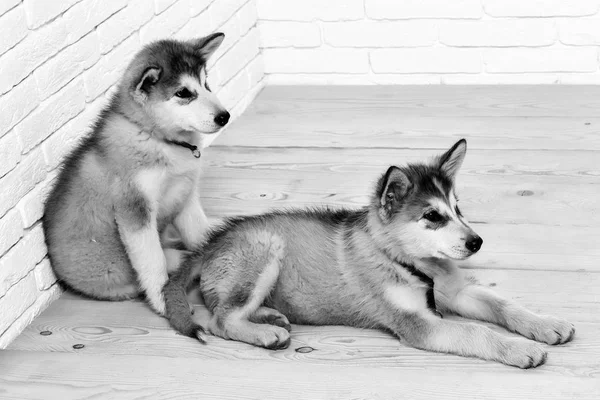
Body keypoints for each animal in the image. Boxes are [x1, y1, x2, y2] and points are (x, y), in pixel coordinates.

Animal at [42, 33, 230, 316]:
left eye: (206, 84)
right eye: (183, 93)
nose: (224, 116)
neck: (158, 138)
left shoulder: (184, 194)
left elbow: (199, 234)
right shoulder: (135, 209)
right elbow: (152, 260)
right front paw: (165, 301)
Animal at [162, 139, 576, 368]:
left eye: (459, 210)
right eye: (432, 216)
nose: (476, 242)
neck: (411, 262)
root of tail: (210, 243)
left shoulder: (459, 292)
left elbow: (504, 305)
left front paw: (544, 325)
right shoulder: (418, 324)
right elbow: (476, 331)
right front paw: (518, 349)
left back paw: (271, 316)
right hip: (266, 249)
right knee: (220, 319)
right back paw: (265, 333)